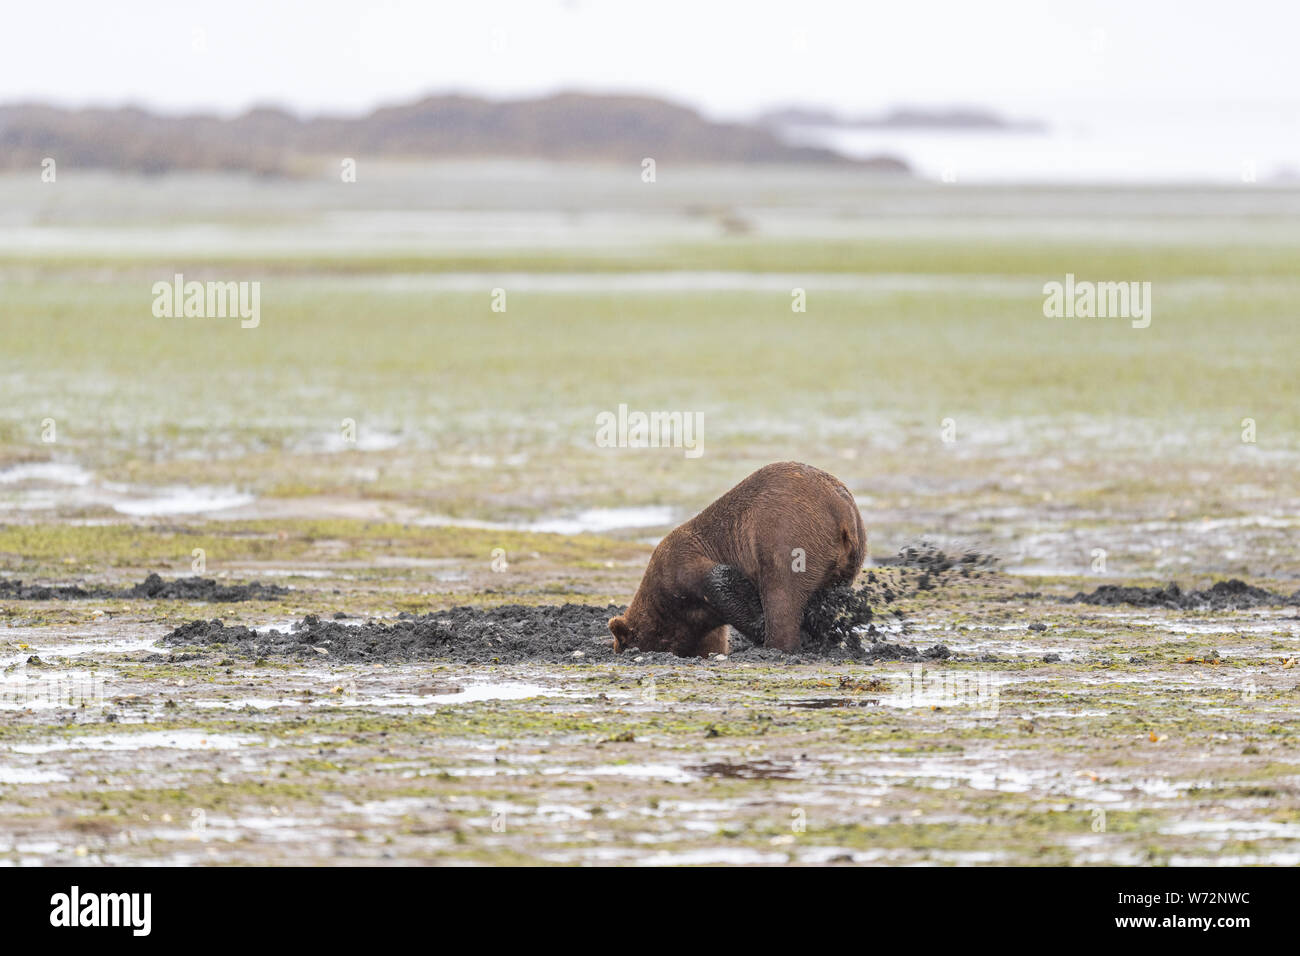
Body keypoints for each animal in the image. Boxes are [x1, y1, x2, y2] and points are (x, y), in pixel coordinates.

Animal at [608, 461, 866, 656]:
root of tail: (842, 509)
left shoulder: (680, 566)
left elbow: (720, 578)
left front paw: (760, 627)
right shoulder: (697, 623)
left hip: (790, 535)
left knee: (782, 595)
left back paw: (775, 645)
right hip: (848, 559)